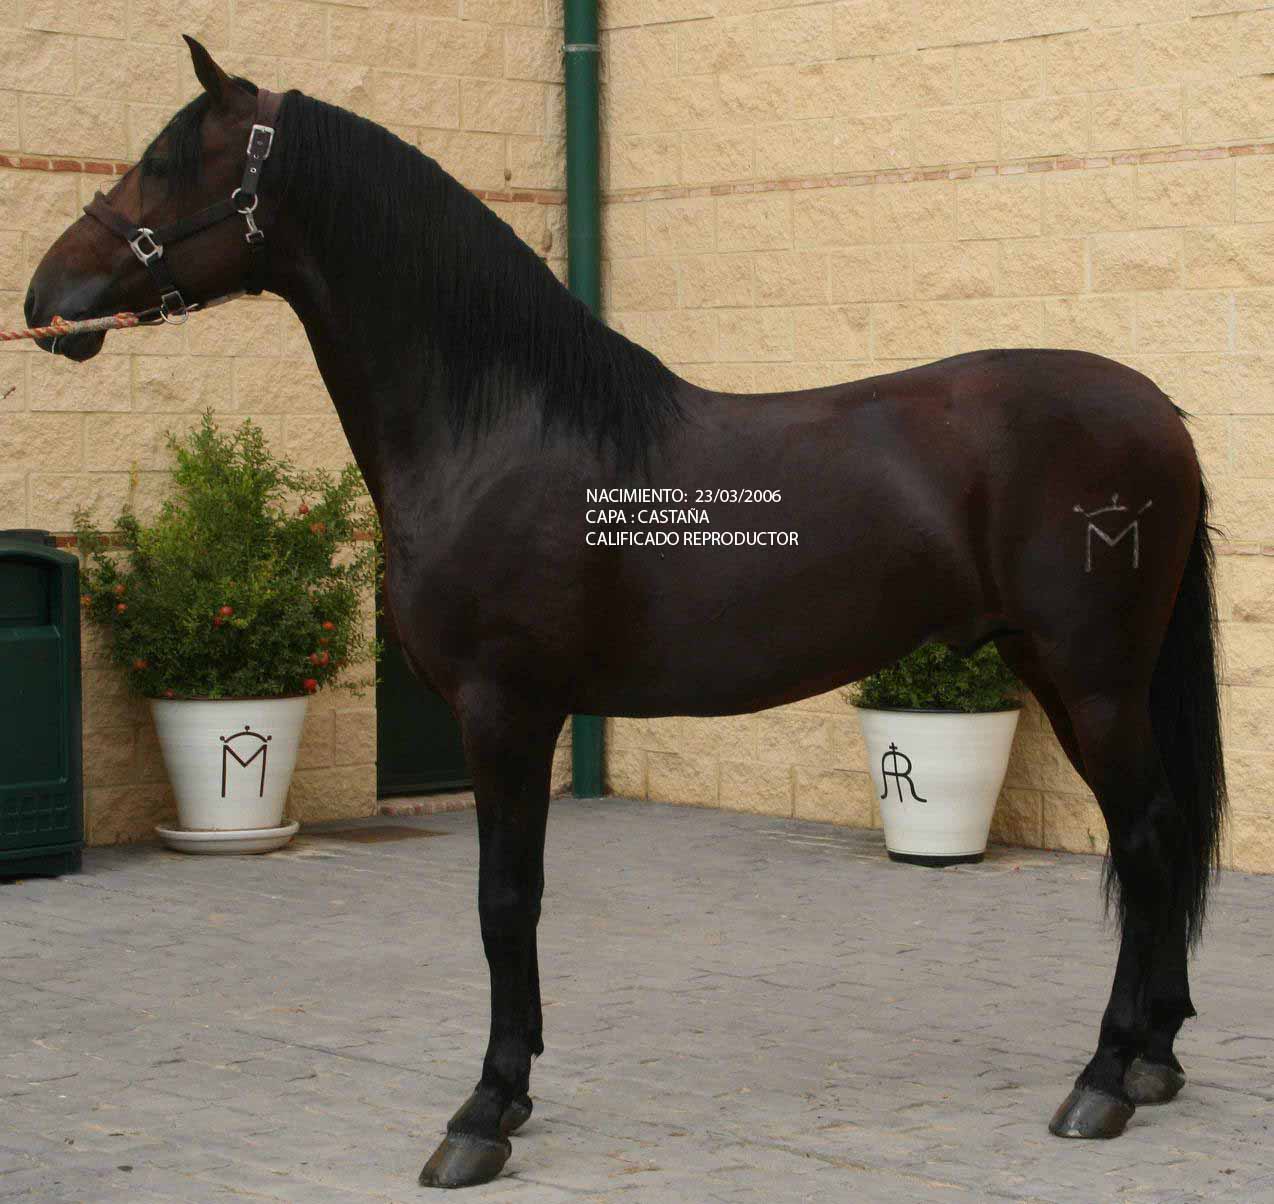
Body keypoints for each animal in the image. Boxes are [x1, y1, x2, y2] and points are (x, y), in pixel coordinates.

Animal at [25, 38, 1226, 1189]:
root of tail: (1155, 411)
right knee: (1158, 834)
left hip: (1093, 675)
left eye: (172, 163)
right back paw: (1153, 1057)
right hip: (1060, 672)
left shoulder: (505, 711)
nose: (45, 301)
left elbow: (504, 900)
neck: (499, 427)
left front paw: (483, 1113)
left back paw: (1101, 1080)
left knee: (1147, 834)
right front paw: (508, 1096)